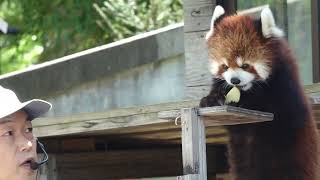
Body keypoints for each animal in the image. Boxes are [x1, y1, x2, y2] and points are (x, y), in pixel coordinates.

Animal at [200, 4, 320, 179]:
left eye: (245, 65)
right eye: (225, 66)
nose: (234, 81)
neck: (250, 90)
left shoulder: (285, 88)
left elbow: (273, 110)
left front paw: (245, 104)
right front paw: (211, 99)